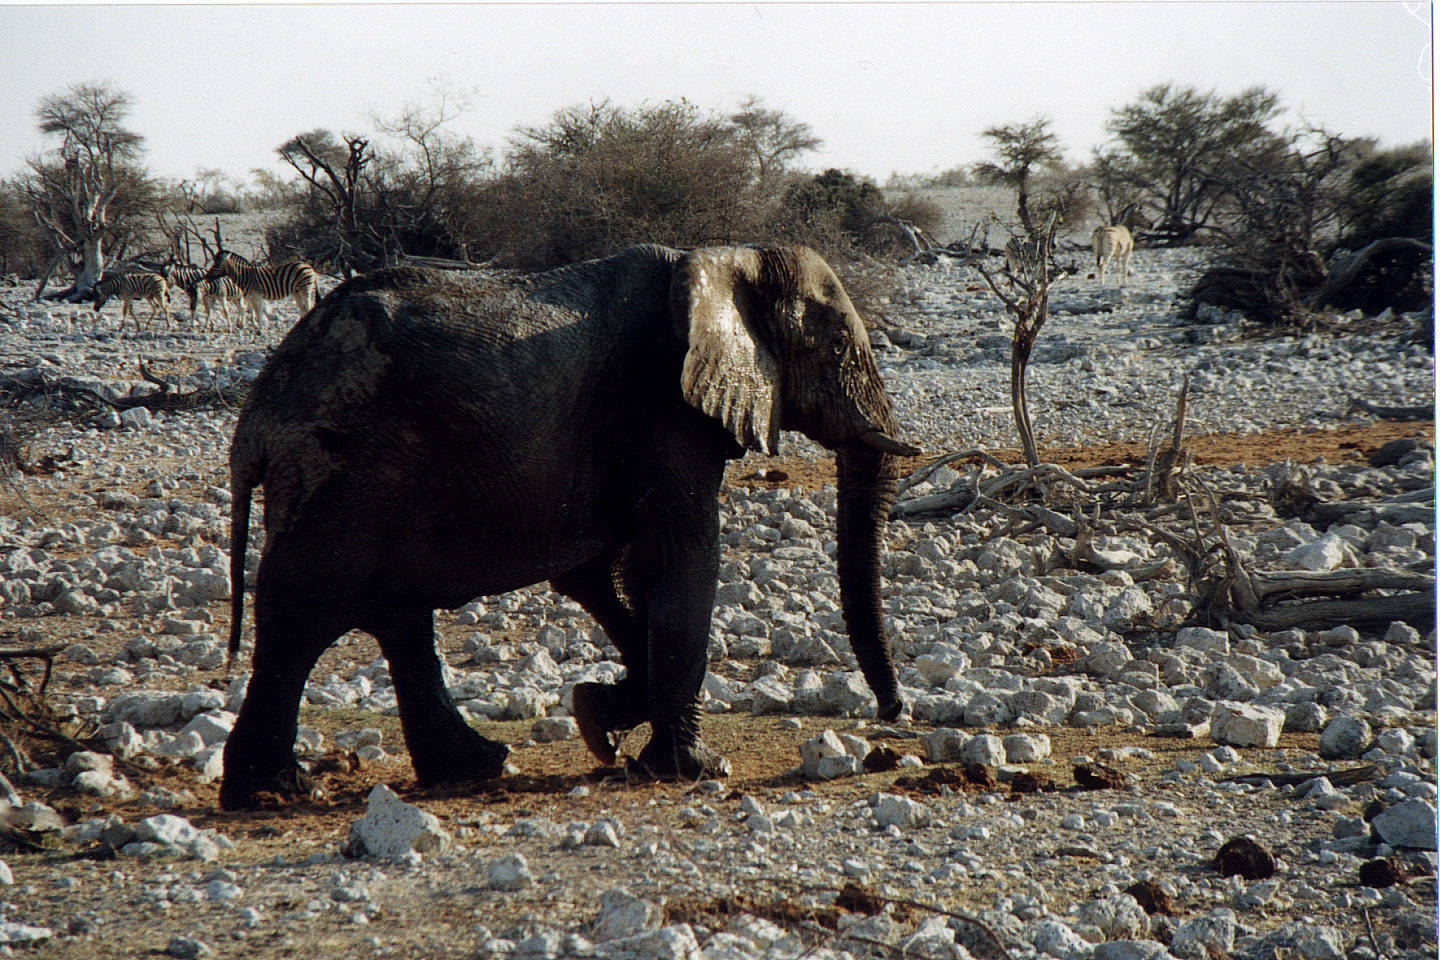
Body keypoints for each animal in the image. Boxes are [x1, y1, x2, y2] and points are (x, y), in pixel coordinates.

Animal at [221, 241, 921, 811]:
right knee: (301, 615)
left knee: (398, 619)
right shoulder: (664, 404)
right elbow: (683, 558)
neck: (723, 260)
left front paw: (597, 717)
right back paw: (272, 792)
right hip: (336, 470)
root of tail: (256, 417)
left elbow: (615, 574)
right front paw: (694, 767)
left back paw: (475, 769)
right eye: (836, 349)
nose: (895, 712)